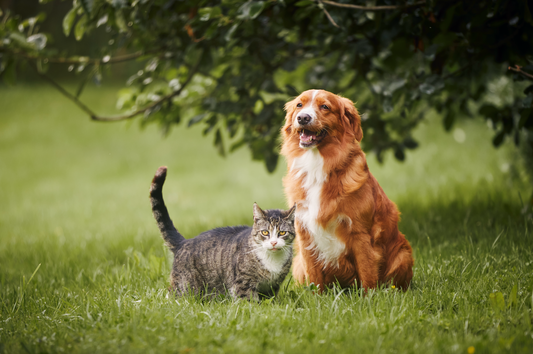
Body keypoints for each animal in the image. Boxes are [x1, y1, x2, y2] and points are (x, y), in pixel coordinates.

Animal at [150, 167, 298, 300]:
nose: (273, 242)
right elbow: (248, 301)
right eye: (265, 232)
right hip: (186, 287)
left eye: (282, 232)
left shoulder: (273, 286)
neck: (273, 262)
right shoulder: (243, 283)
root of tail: (184, 242)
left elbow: (270, 300)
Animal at [280, 90, 414, 292]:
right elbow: (314, 278)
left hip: (403, 254)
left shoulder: (360, 233)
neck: (317, 165)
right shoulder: (304, 233)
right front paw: (316, 297)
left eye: (325, 107)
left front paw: (369, 298)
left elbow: (367, 273)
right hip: (297, 264)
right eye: (299, 105)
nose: (303, 118)